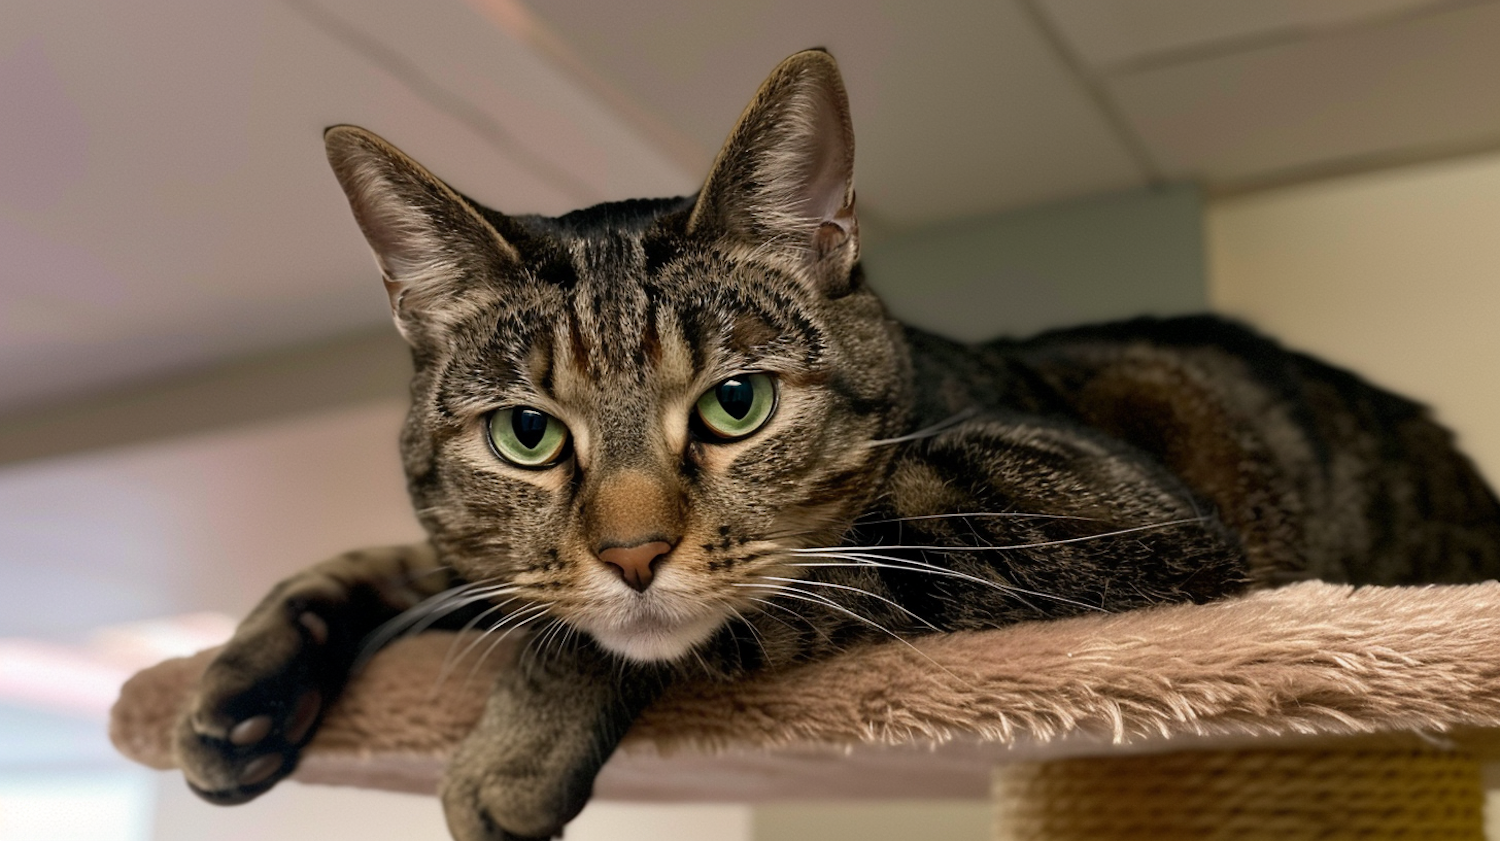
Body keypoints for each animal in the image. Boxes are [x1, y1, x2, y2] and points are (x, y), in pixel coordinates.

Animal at [170, 49, 1500, 833]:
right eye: (526, 434)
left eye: (736, 407)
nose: (634, 554)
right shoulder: (472, 557)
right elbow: (401, 565)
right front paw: (234, 685)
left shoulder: (1095, 506)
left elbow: (771, 587)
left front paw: (518, 741)